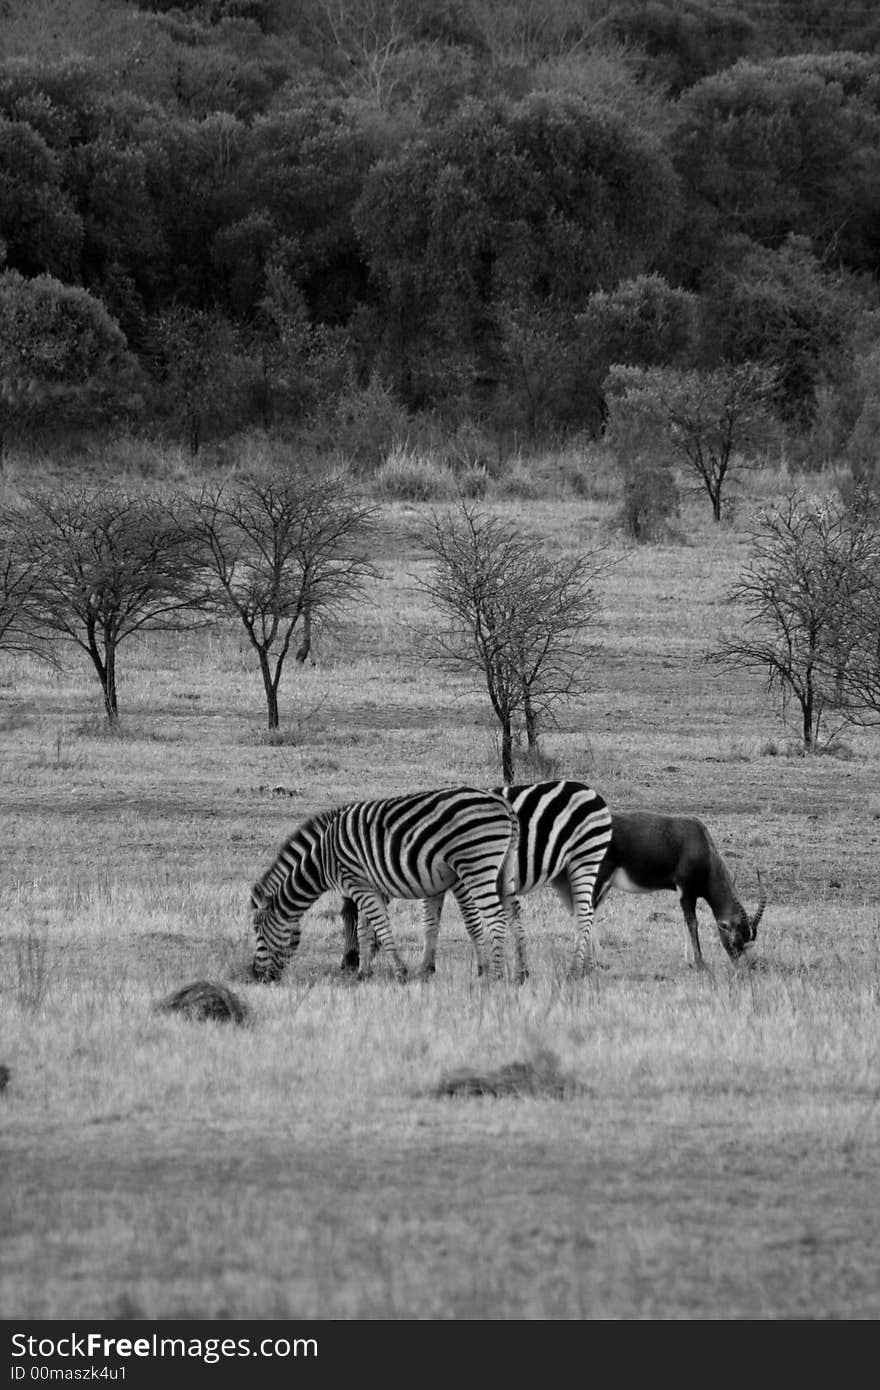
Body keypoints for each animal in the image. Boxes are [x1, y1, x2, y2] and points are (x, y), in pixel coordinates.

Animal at [250, 789, 517, 984]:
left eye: (258, 932)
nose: (255, 975)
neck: (322, 857)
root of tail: (503, 803)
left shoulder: (358, 884)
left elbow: (378, 926)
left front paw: (398, 971)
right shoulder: (368, 886)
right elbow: (364, 929)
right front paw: (363, 972)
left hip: (475, 865)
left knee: (495, 918)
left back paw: (495, 977)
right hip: (501, 870)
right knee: (509, 913)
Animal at [337, 778, 611, 984]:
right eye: (342, 920)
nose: (347, 965)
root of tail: (592, 792)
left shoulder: (455, 878)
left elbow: (467, 923)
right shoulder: (431, 882)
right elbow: (430, 924)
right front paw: (426, 968)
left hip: (584, 858)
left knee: (584, 914)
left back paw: (575, 970)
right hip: (563, 874)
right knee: (585, 913)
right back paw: (588, 966)